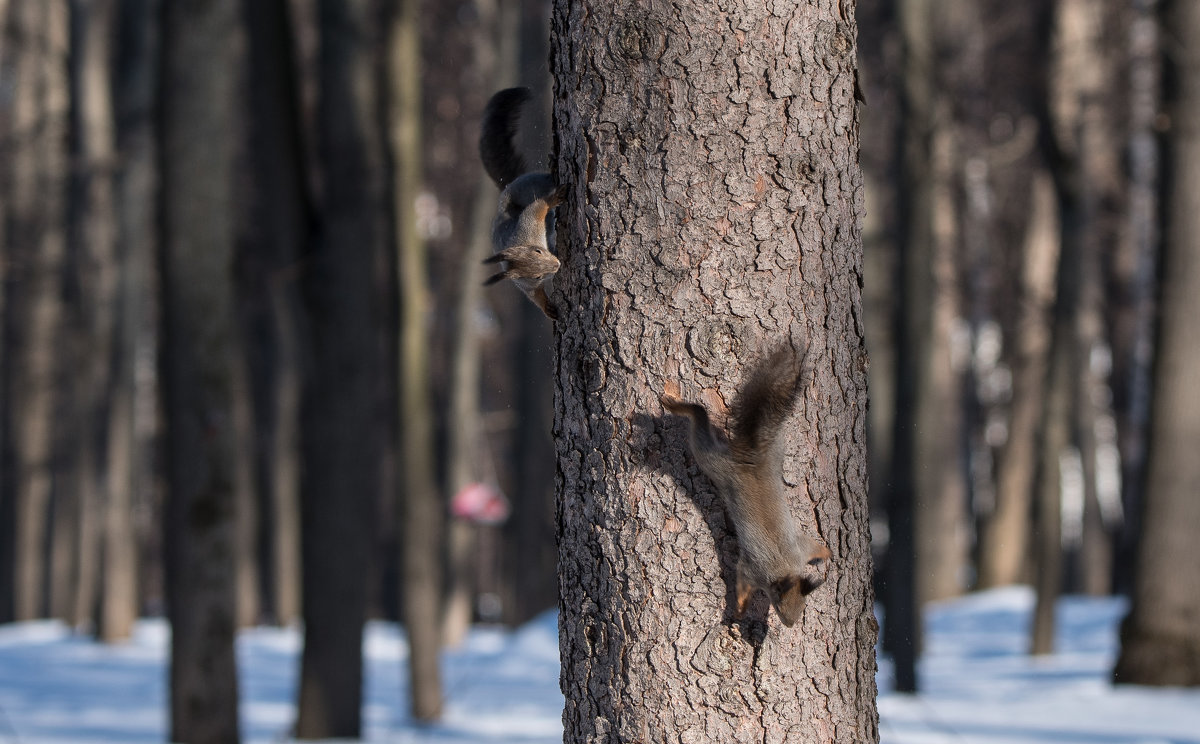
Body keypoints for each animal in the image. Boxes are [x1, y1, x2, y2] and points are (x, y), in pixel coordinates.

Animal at [477, 87, 561, 319]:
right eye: (537, 276)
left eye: (537, 252)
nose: (557, 265)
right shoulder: (524, 285)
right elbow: (534, 295)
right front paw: (547, 307)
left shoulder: (528, 223)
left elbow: (538, 207)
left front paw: (555, 199)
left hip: (529, 184)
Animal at [662, 345, 830, 624]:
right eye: (780, 607)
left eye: (803, 607)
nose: (791, 625)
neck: (785, 566)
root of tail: (750, 457)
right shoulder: (753, 568)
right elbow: (741, 583)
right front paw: (740, 610)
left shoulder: (799, 548)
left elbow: (812, 545)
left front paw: (827, 552)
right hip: (715, 465)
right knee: (699, 419)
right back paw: (677, 406)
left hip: (776, 448)